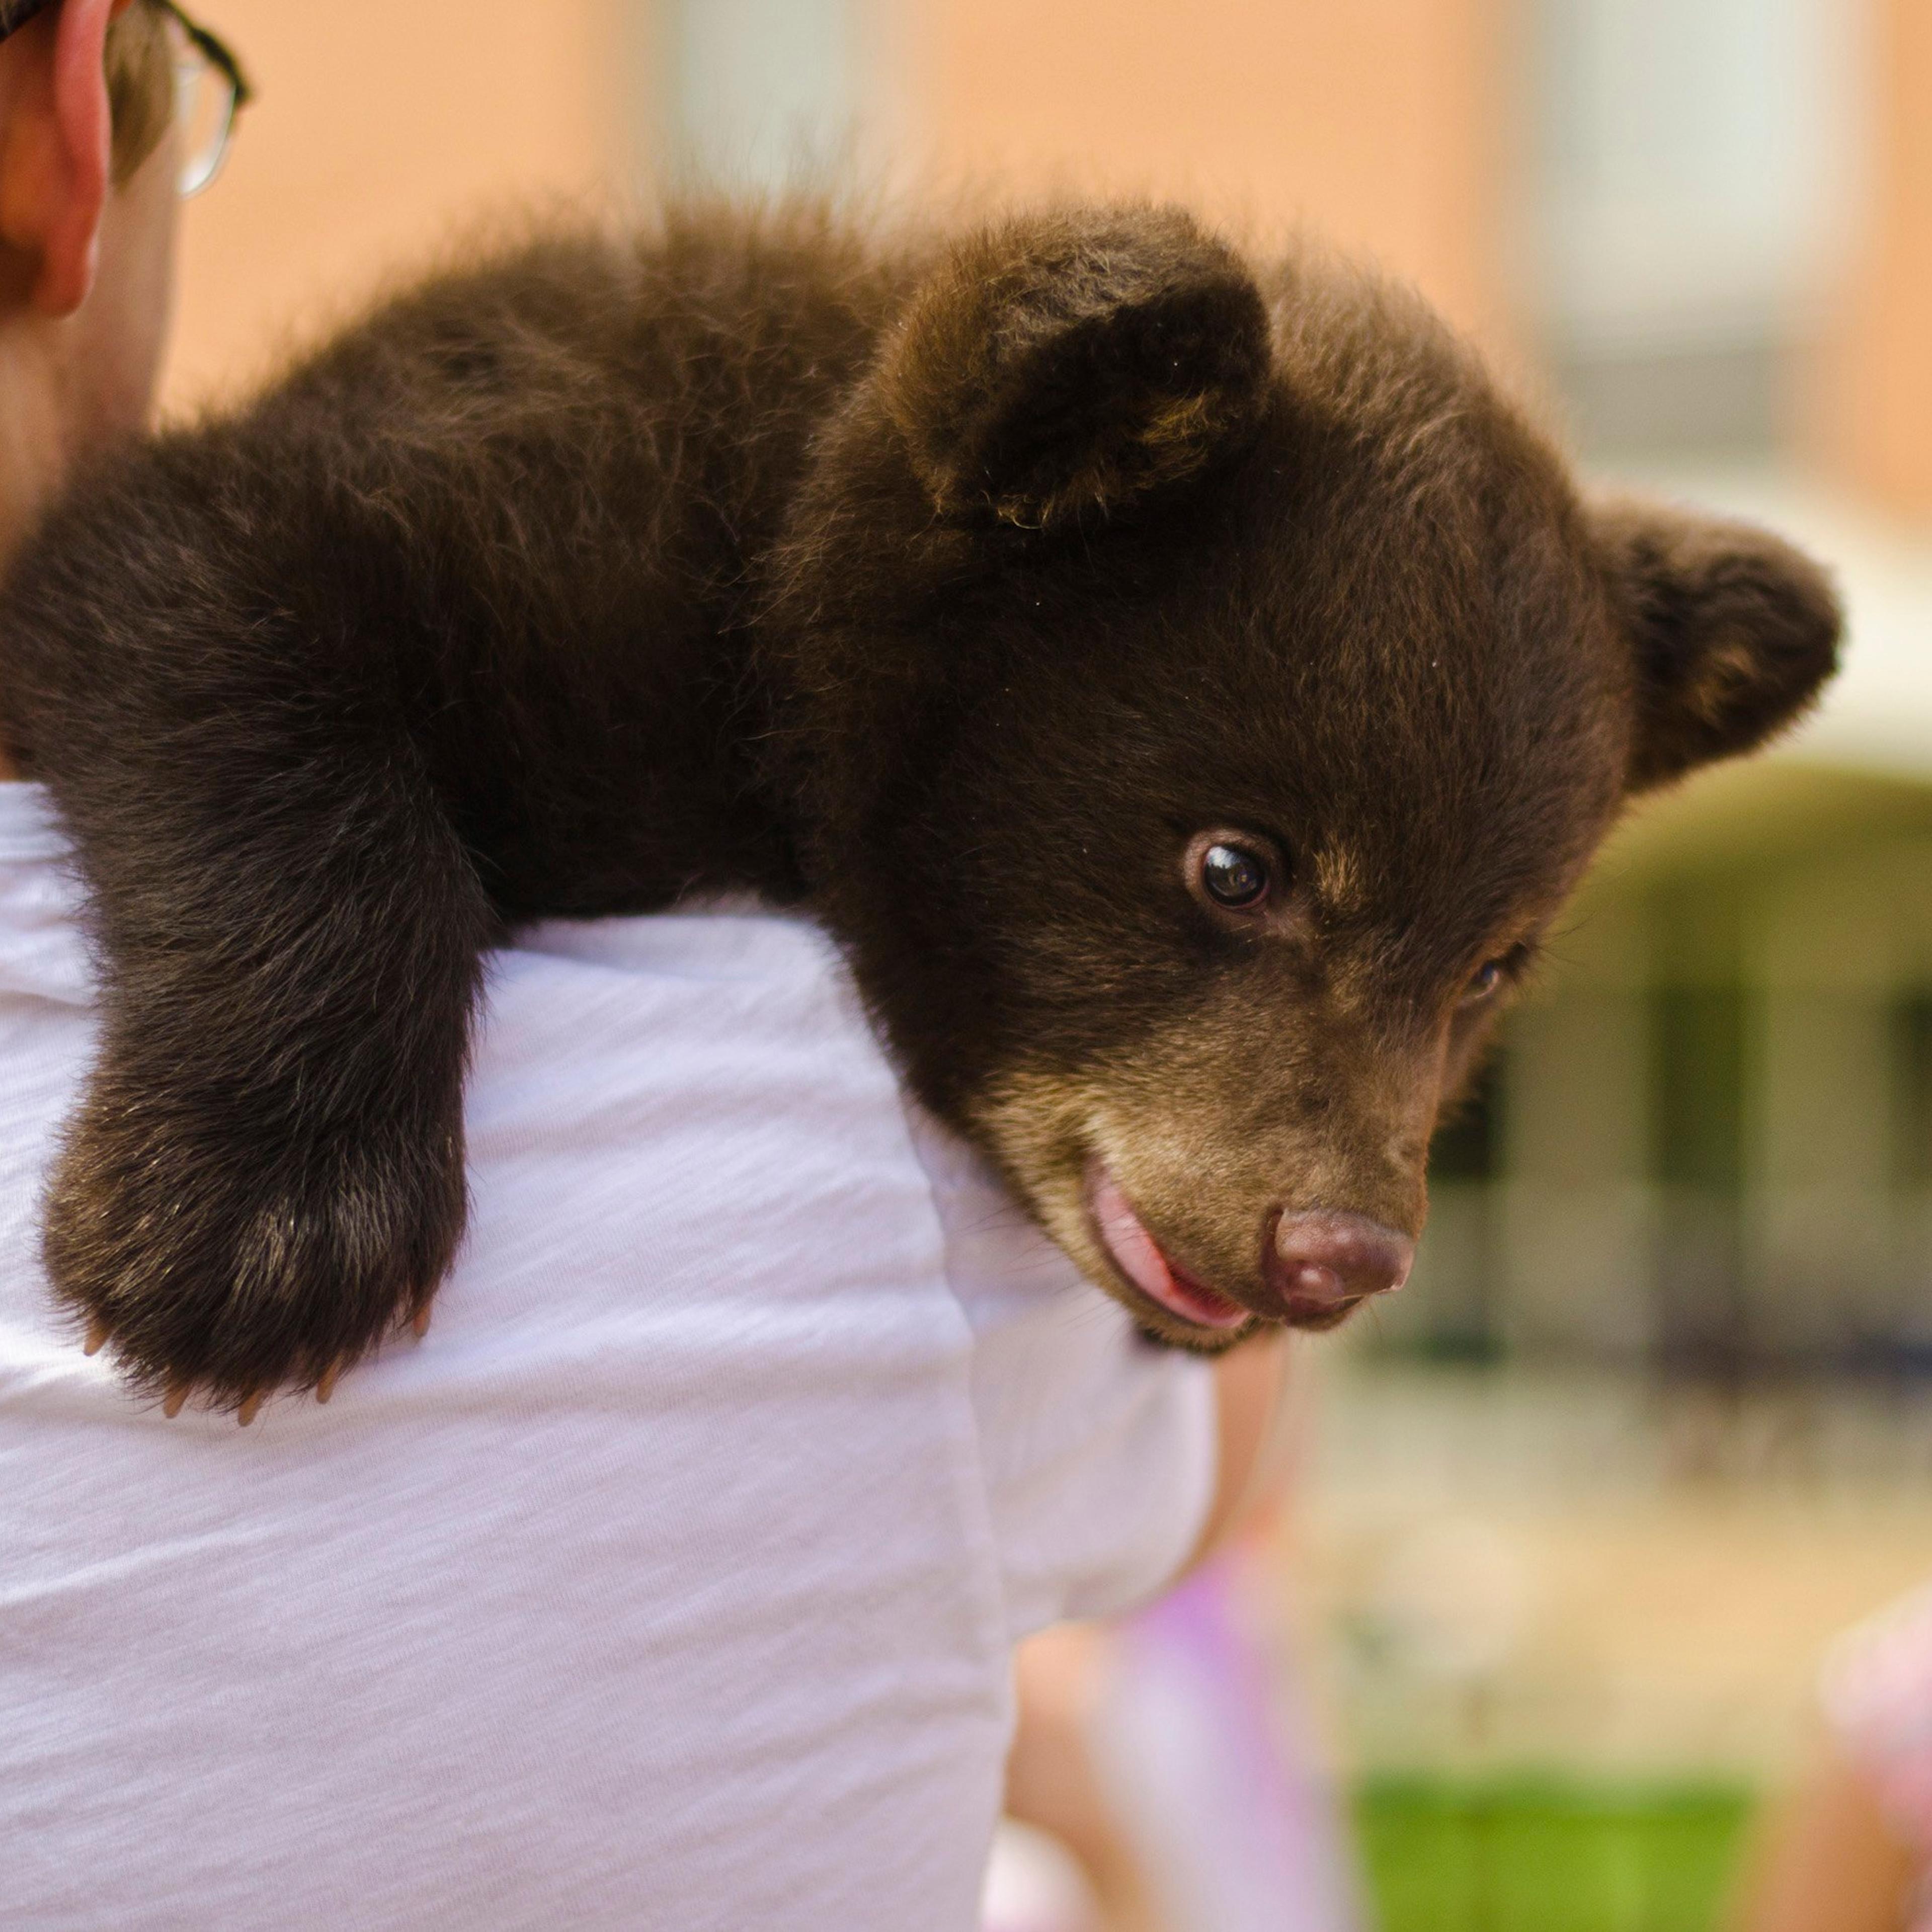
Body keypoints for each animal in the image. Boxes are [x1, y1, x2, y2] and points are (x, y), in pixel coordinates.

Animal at [0, 200, 1839, 1413]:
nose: (1342, 1255)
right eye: (1234, 866)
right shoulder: (454, 477)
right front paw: (257, 1221)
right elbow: (214, 608)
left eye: (1489, 973)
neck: (755, 586)